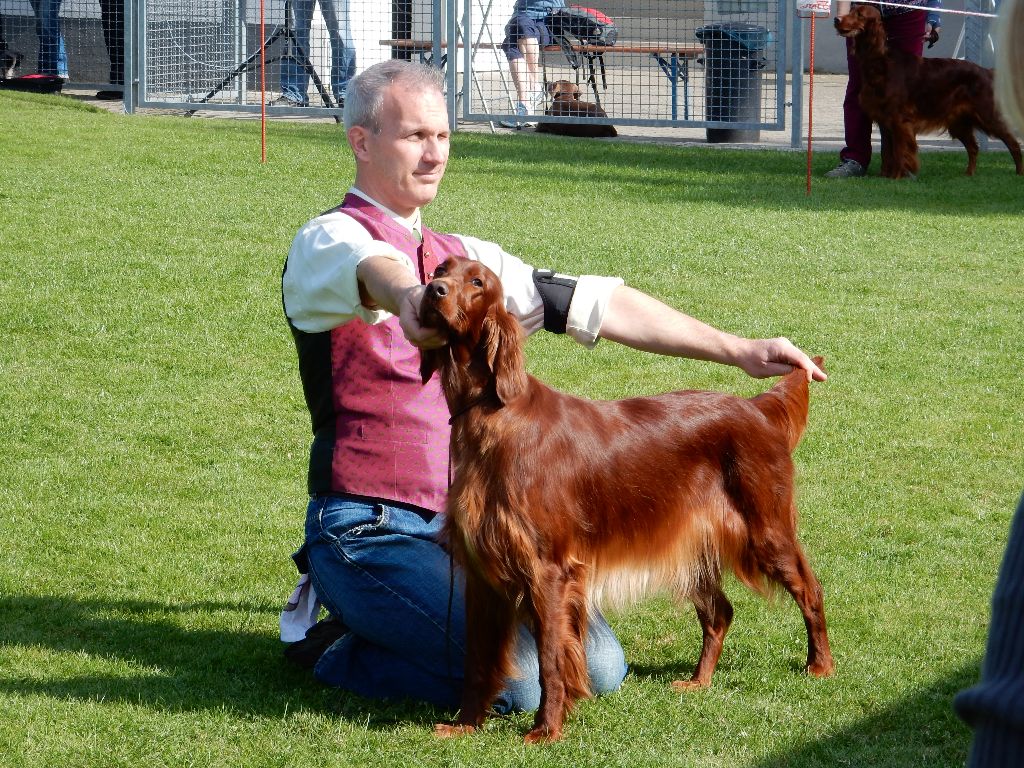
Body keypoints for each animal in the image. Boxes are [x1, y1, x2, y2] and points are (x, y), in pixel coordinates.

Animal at [419, 259, 835, 745]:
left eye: (477, 282)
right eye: (441, 268)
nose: (433, 289)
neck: (493, 412)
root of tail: (758, 408)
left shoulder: (549, 572)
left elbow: (551, 659)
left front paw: (546, 730)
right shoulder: (482, 575)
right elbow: (477, 660)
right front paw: (466, 724)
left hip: (765, 530)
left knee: (810, 591)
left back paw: (820, 665)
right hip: (694, 545)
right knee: (720, 613)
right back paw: (699, 681)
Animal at [835, 5, 1019, 180]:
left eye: (860, 14)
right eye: (850, 10)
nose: (837, 19)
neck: (880, 61)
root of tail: (987, 71)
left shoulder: (899, 120)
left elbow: (899, 152)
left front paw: (896, 177)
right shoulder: (884, 120)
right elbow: (887, 152)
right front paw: (884, 176)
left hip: (987, 115)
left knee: (1013, 143)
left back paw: (1019, 173)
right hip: (958, 122)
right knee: (973, 148)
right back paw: (969, 174)